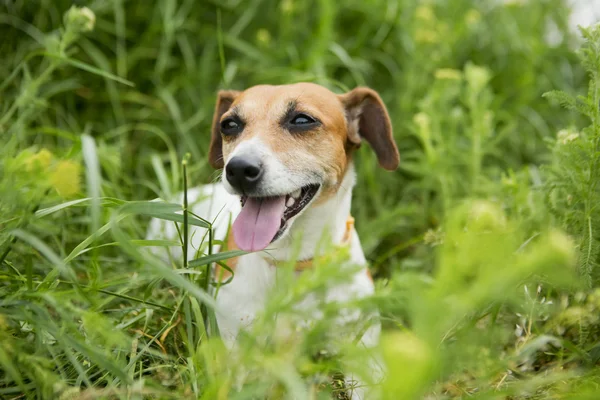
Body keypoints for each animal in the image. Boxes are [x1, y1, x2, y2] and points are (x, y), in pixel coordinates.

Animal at [145, 83, 398, 398]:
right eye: (229, 125)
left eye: (302, 120)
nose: (239, 169)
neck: (293, 261)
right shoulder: (236, 348)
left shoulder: (362, 349)